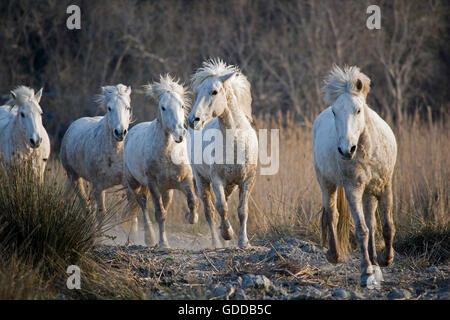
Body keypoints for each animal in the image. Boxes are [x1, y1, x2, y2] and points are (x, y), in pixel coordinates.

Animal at [59, 85, 131, 225]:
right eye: (109, 108)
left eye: (127, 107)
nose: (120, 132)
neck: (114, 154)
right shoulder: (98, 186)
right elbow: (101, 215)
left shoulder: (128, 185)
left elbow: (129, 216)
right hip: (74, 176)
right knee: (86, 207)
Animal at [125, 74, 199, 248]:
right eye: (163, 107)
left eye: (182, 106)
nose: (179, 134)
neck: (168, 155)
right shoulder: (152, 184)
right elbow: (159, 213)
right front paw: (162, 243)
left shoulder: (185, 180)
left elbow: (192, 201)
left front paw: (191, 217)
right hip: (135, 183)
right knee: (143, 204)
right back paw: (150, 238)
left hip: (167, 190)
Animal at [187, 59, 258, 248]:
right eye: (198, 91)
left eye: (214, 91)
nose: (192, 120)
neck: (235, 142)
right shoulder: (217, 178)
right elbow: (222, 207)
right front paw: (227, 234)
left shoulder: (247, 179)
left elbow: (242, 210)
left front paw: (243, 242)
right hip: (201, 180)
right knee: (209, 210)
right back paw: (217, 242)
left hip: (230, 184)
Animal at [312, 65, 398, 290]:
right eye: (335, 112)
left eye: (358, 110)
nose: (345, 150)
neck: (368, 150)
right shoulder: (353, 190)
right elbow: (361, 230)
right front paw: (366, 272)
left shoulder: (385, 187)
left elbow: (386, 226)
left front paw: (385, 260)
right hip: (327, 184)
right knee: (332, 214)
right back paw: (334, 255)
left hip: (370, 193)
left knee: (372, 222)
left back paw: (376, 263)